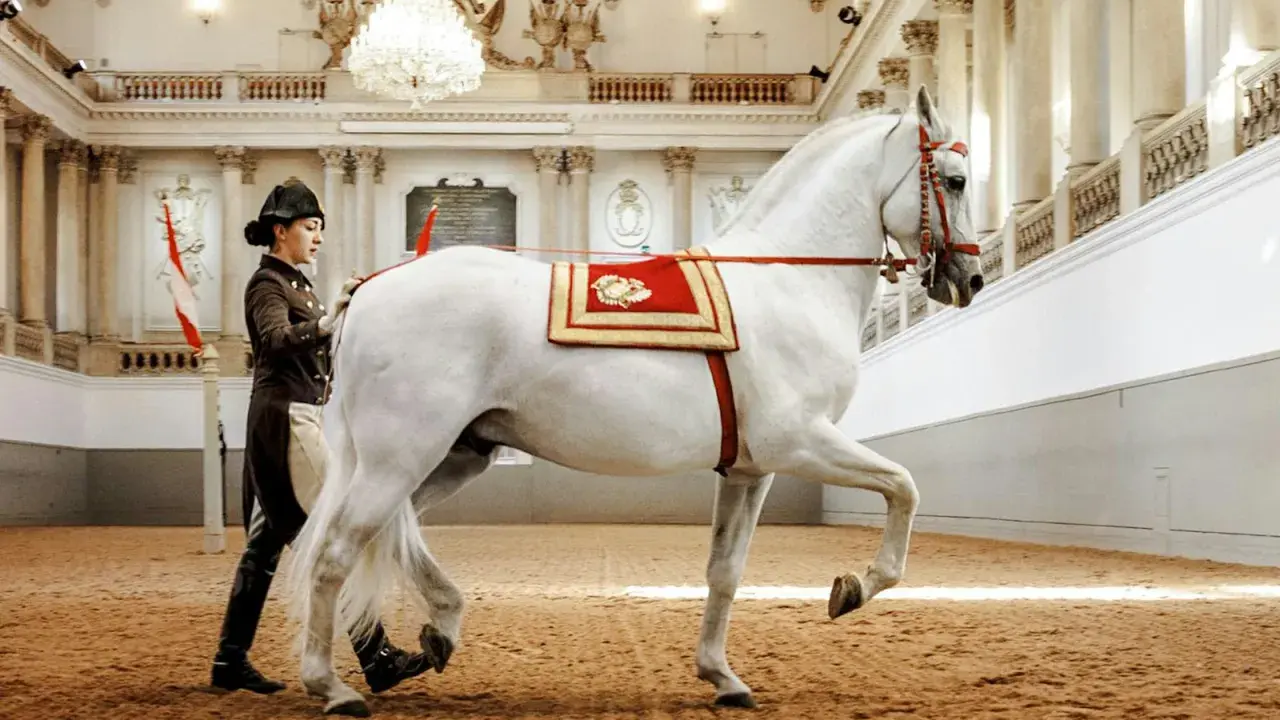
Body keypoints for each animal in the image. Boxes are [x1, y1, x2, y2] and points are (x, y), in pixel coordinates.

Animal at [285, 84, 983, 716]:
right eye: (953, 181)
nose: (970, 278)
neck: (785, 279)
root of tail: (371, 287)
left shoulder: (751, 469)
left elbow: (725, 571)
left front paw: (721, 675)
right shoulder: (802, 441)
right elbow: (903, 487)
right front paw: (854, 588)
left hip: (453, 456)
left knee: (388, 535)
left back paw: (435, 630)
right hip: (400, 458)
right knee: (334, 552)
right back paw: (332, 685)